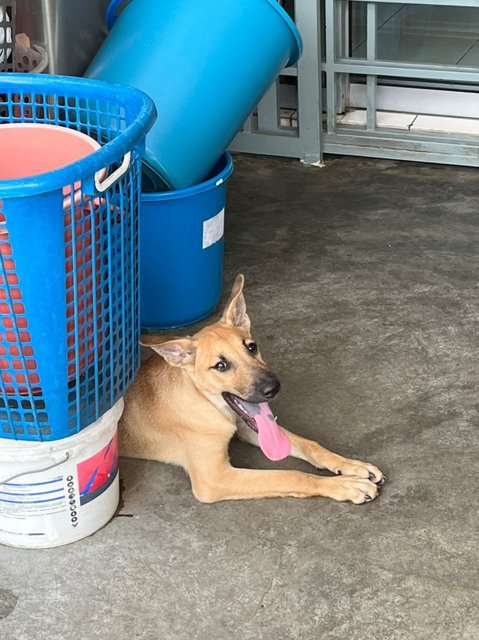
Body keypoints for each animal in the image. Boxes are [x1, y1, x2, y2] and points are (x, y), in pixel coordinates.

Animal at [120, 276, 386, 504]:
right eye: (221, 366)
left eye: (251, 347)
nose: (273, 387)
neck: (205, 402)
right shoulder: (213, 479)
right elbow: (290, 475)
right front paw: (346, 485)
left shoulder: (248, 427)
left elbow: (310, 444)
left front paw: (353, 466)